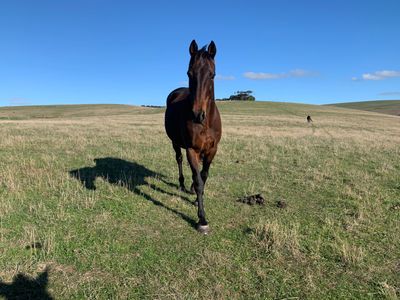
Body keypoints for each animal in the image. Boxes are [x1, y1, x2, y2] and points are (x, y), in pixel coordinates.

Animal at [165, 39, 223, 234]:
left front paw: (198, 199)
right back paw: (183, 184)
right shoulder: (192, 149)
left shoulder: (212, 150)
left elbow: (203, 176)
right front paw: (202, 219)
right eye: (189, 73)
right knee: (179, 159)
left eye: (212, 75)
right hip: (175, 143)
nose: (198, 114)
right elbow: (198, 180)